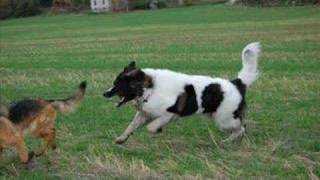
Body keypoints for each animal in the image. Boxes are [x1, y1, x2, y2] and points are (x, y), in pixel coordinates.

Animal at [104, 41, 262, 143]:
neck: (150, 88)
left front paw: (157, 129)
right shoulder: (144, 114)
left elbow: (151, 127)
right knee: (241, 128)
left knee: (242, 128)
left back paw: (229, 141)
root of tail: (236, 82)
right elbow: (130, 126)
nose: (104, 93)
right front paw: (121, 138)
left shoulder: (168, 114)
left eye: (117, 85)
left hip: (225, 120)